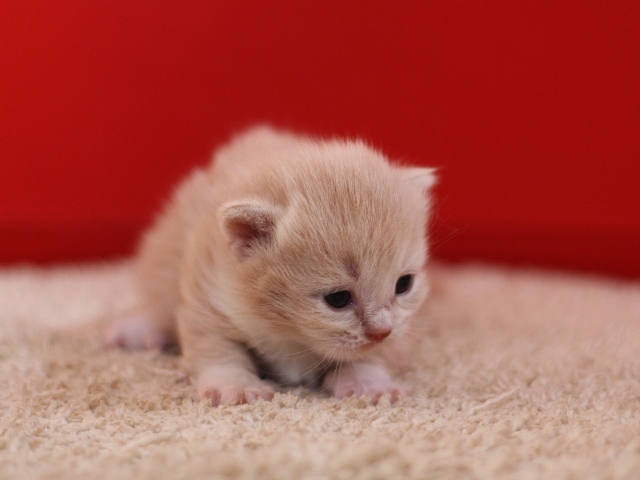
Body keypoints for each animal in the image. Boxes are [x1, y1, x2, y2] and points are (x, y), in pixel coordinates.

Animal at [105, 126, 436, 404]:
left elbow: (380, 353)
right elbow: (215, 346)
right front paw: (235, 385)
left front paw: (369, 382)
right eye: (338, 299)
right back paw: (137, 330)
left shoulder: (406, 325)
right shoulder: (207, 284)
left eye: (404, 284)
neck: (286, 330)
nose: (382, 332)